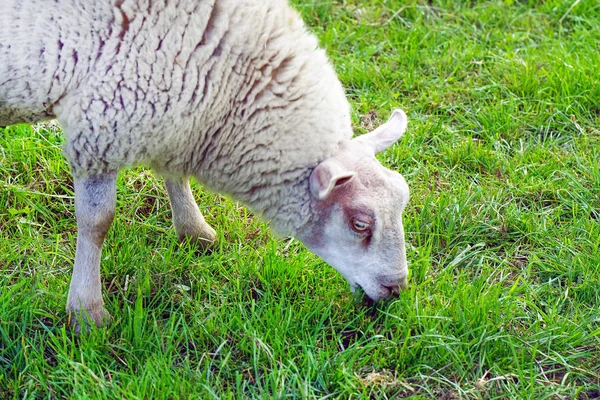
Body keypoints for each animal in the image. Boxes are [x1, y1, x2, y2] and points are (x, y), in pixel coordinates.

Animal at [0, 0, 410, 332]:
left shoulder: (174, 112)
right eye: (360, 223)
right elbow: (96, 222)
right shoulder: (100, 127)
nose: (396, 289)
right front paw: (87, 312)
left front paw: (194, 230)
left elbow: (174, 173)